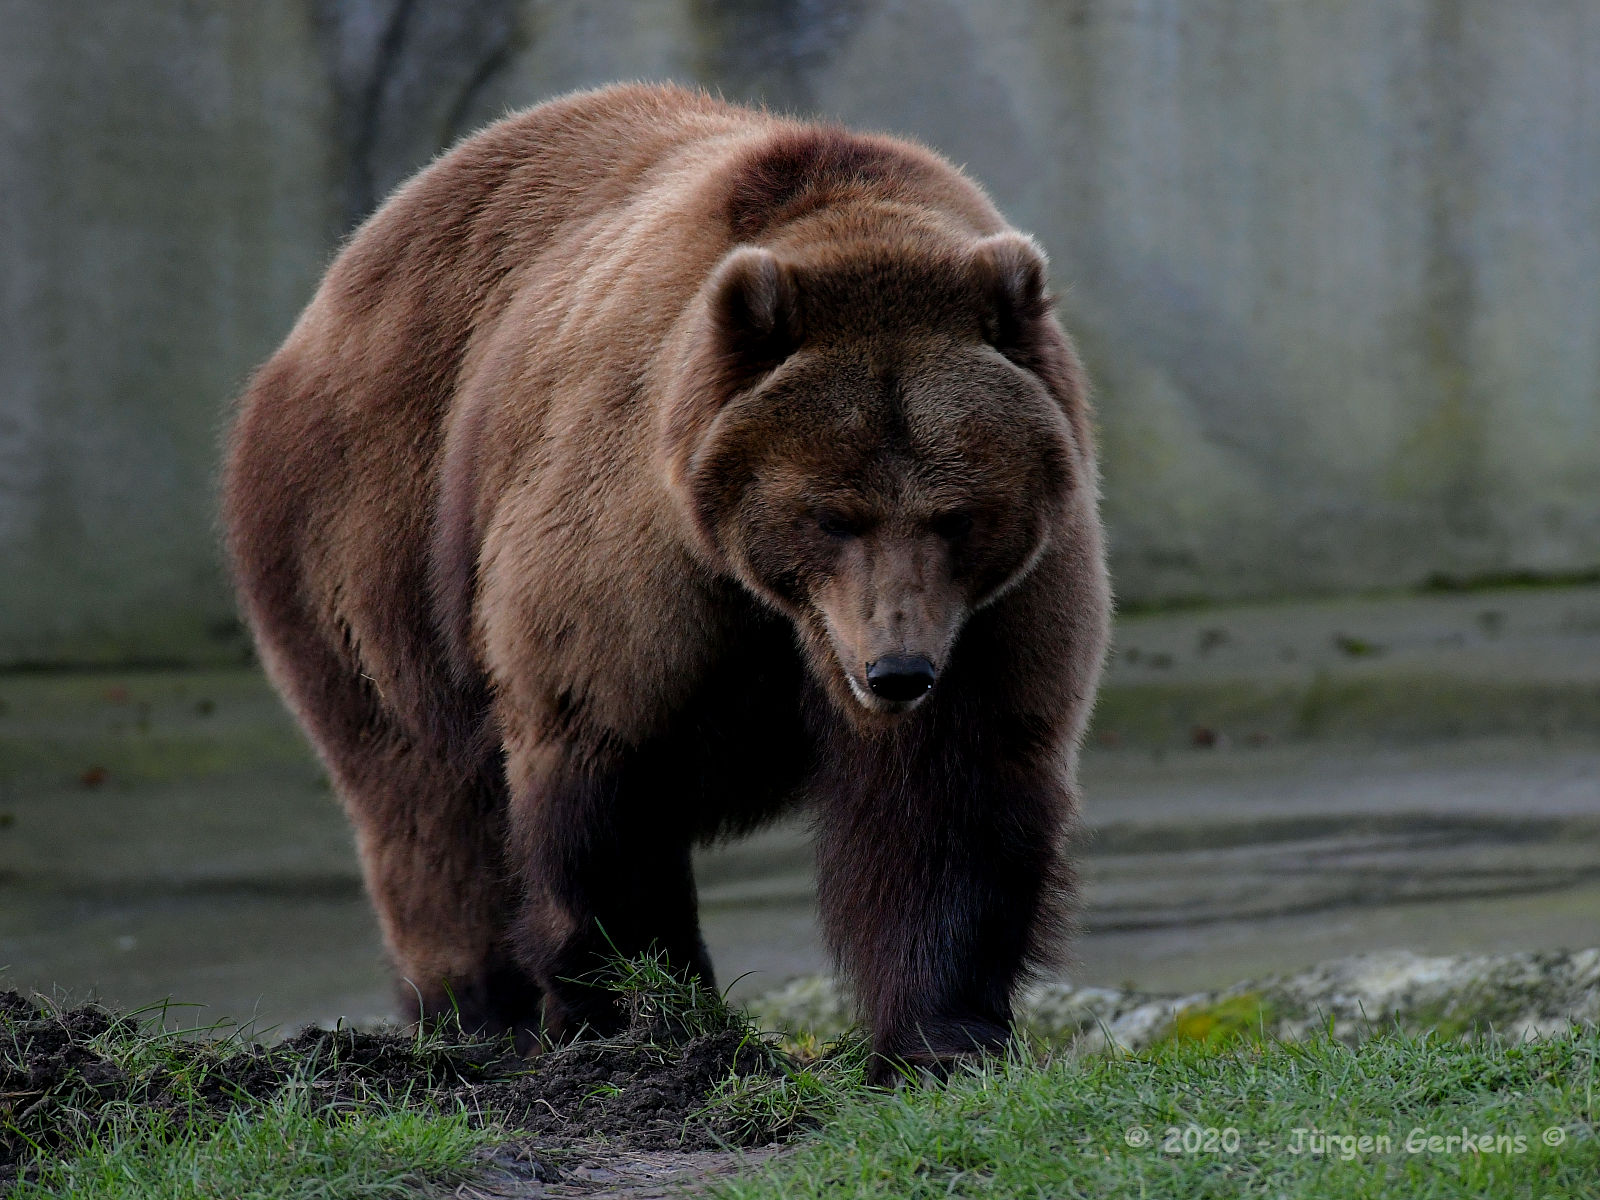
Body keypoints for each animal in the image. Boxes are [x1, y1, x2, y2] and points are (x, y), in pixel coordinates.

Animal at [222, 82, 1100, 1081]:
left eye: (957, 514)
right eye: (831, 513)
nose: (897, 670)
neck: (774, 607)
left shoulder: (998, 606)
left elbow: (953, 796)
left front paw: (942, 1036)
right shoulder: (630, 551)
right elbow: (605, 773)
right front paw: (637, 1009)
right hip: (371, 537)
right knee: (427, 800)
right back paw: (478, 1014)